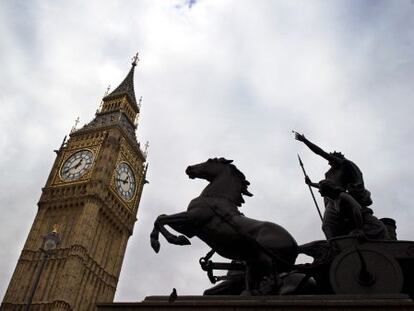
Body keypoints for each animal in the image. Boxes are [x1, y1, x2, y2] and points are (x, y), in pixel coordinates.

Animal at [150, 158, 300, 294]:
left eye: (208, 161)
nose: (189, 168)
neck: (215, 198)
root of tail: (295, 245)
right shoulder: (190, 229)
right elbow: (161, 217)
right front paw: (171, 240)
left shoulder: (191, 219)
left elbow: (161, 219)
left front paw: (169, 241)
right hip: (253, 264)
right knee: (255, 286)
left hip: (265, 259)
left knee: (275, 283)